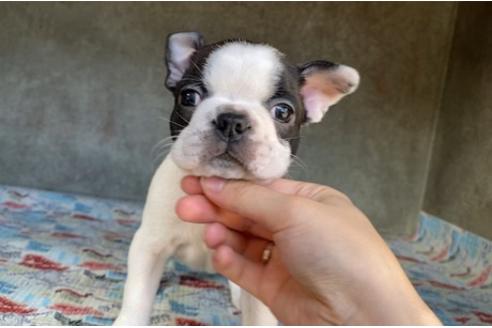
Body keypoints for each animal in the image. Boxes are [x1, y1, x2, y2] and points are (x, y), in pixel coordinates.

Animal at [115, 32, 362, 326]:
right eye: (189, 96)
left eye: (283, 112)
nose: (232, 120)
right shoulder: (150, 244)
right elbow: (137, 294)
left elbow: (258, 314)